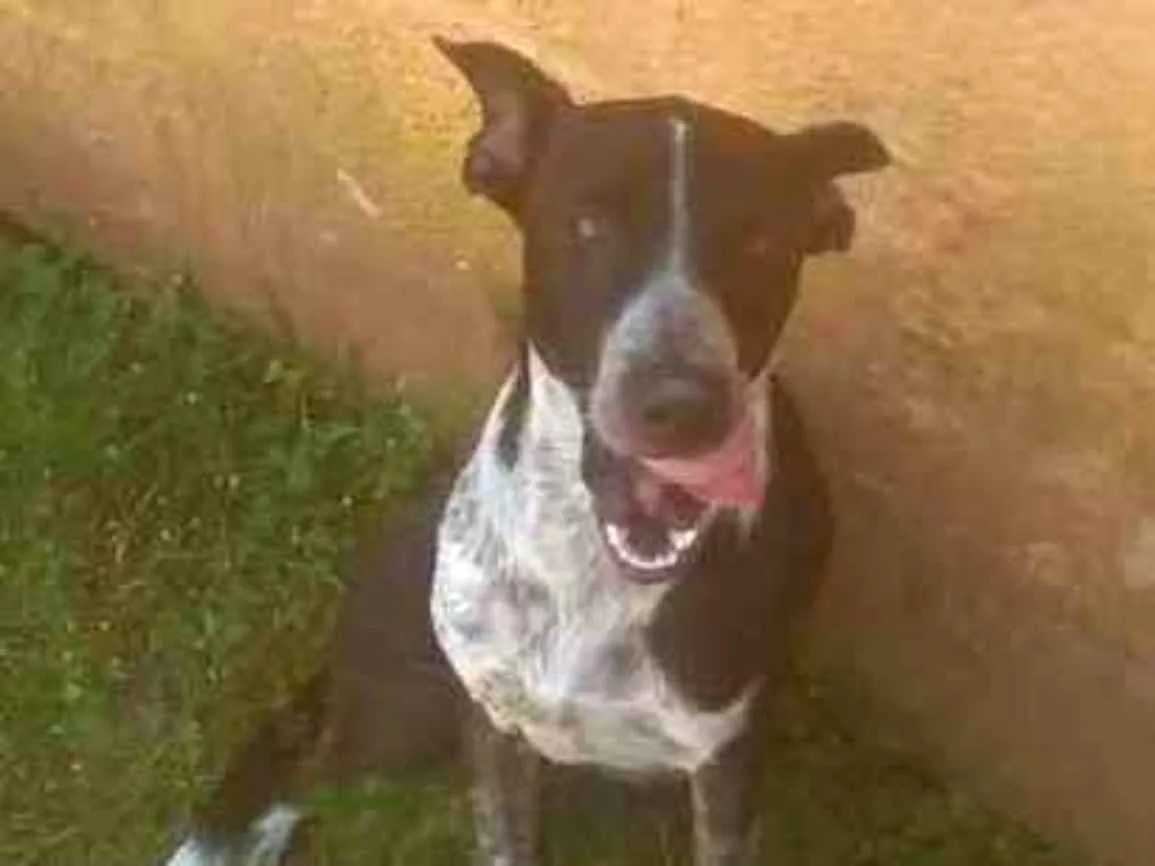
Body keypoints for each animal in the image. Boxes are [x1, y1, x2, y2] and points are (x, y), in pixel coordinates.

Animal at [162, 37, 889, 866]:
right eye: (587, 226)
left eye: (760, 242)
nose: (683, 405)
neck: (593, 577)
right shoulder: (490, 724)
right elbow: (502, 834)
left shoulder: (723, 762)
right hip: (405, 702)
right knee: (308, 744)